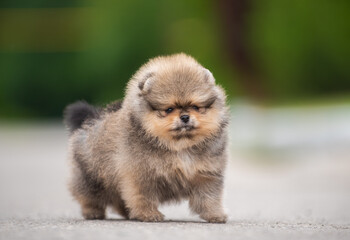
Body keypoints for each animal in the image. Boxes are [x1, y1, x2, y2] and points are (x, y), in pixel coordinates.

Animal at [64, 53, 230, 222]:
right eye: (169, 109)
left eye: (195, 107)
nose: (184, 117)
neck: (178, 145)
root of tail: (90, 120)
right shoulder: (141, 175)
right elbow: (143, 196)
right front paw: (148, 214)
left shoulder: (206, 174)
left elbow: (209, 197)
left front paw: (215, 215)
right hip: (91, 177)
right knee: (88, 195)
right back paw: (93, 212)